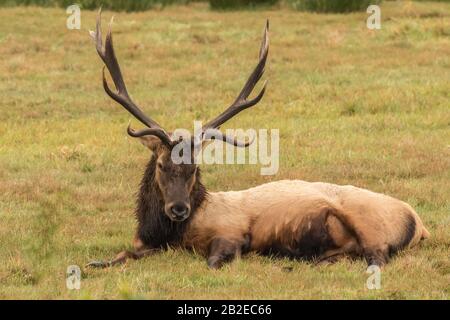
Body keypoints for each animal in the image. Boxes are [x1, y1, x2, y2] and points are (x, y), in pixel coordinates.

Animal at [85, 11, 428, 268]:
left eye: (195, 168)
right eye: (160, 165)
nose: (179, 208)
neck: (171, 234)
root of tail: (419, 224)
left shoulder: (231, 231)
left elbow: (213, 261)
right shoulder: (143, 244)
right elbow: (117, 255)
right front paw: (96, 263)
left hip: (372, 225)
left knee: (377, 257)